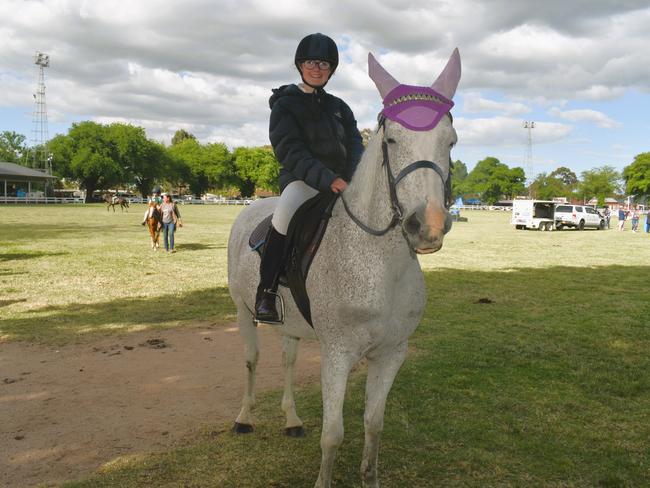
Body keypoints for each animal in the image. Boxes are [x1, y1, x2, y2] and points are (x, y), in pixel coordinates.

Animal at [228, 47, 460, 486]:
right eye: (391, 139)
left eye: (450, 141)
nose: (427, 226)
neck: (382, 267)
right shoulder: (337, 354)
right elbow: (333, 435)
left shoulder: (391, 353)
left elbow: (374, 425)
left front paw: (370, 476)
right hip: (244, 311)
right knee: (250, 360)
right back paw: (244, 418)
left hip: (291, 324)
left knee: (287, 360)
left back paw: (291, 420)